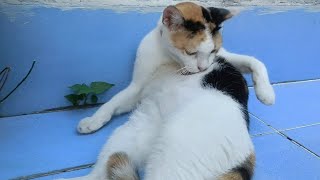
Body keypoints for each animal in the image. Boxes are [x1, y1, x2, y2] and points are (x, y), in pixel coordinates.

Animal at [62, 1, 276, 180]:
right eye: (191, 52)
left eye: (213, 51)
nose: (203, 68)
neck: (171, 61)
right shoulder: (137, 87)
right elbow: (112, 103)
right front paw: (93, 121)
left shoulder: (225, 56)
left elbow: (256, 62)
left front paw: (266, 93)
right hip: (127, 135)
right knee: (100, 172)